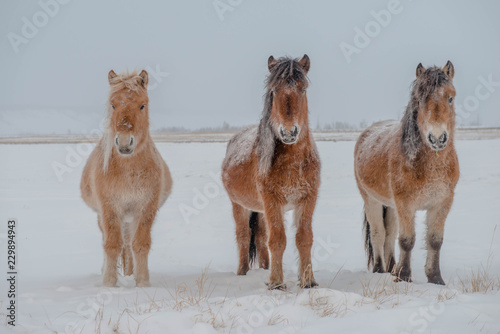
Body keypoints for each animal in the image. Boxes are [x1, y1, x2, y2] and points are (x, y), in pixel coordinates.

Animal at [81, 68, 173, 288]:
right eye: (113, 104)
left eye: (142, 105)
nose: (124, 144)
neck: (128, 173)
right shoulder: (109, 209)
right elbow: (112, 244)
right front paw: (108, 282)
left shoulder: (145, 208)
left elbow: (139, 244)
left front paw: (143, 282)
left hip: (129, 219)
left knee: (129, 245)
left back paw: (130, 273)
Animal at [222, 54, 320, 290]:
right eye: (274, 91)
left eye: (303, 89)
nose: (289, 132)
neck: (293, 164)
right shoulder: (272, 200)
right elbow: (277, 240)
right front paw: (276, 283)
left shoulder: (308, 199)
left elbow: (304, 238)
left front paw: (308, 281)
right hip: (239, 205)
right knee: (243, 236)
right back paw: (243, 273)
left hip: (260, 210)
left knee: (259, 236)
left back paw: (264, 269)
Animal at [354, 60, 458, 284]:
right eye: (420, 100)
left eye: (450, 97)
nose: (437, 138)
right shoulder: (406, 204)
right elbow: (407, 240)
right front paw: (403, 276)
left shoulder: (441, 203)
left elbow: (434, 241)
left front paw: (435, 279)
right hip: (372, 200)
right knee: (378, 233)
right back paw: (380, 269)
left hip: (391, 206)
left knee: (390, 233)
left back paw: (392, 266)